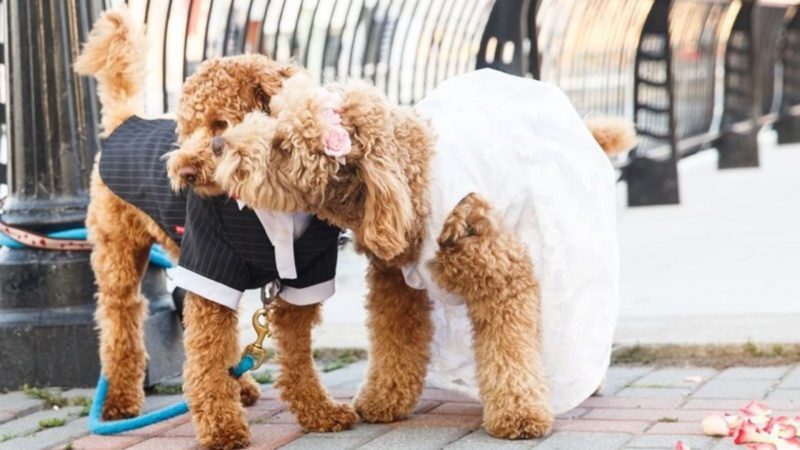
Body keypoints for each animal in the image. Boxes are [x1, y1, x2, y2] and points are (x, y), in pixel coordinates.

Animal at [76, 7, 356, 450]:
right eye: (186, 129)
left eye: (221, 123)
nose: (185, 172)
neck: (267, 199)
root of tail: (125, 121)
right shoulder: (210, 263)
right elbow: (205, 355)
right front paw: (221, 427)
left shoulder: (306, 277)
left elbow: (297, 356)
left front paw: (318, 410)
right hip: (118, 253)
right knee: (122, 317)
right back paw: (120, 399)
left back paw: (240, 385)